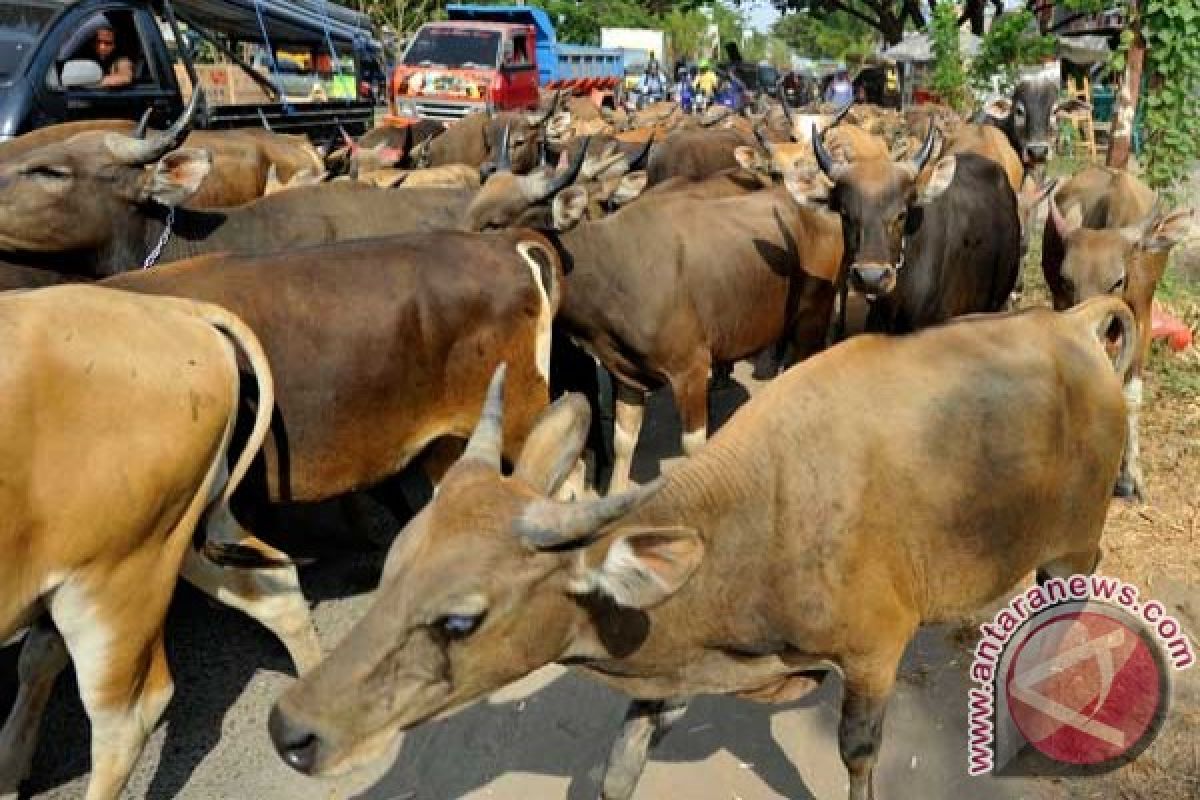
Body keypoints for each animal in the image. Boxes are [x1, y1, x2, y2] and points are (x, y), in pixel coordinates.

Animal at [270, 297, 1132, 800]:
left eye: (459, 620)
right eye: (391, 570)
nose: (290, 729)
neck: (757, 522)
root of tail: (1071, 322)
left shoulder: (874, 654)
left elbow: (858, 756)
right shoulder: (668, 672)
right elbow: (619, 770)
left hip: (1073, 543)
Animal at [1036, 165, 1195, 496]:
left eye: (1117, 281)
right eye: (1068, 280)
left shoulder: (1142, 310)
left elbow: (1130, 394)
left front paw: (1130, 475)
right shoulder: (1062, 303)